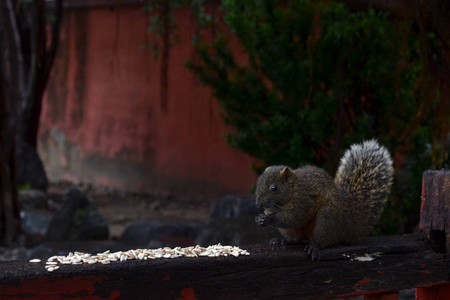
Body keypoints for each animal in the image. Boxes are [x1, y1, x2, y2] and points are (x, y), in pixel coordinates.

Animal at [256, 139, 394, 258]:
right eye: (258, 181)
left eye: (274, 188)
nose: (258, 205)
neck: (293, 189)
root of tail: (340, 229)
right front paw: (262, 216)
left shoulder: (303, 200)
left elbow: (294, 218)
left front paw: (268, 218)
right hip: (293, 231)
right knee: (300, 239)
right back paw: (284, 240)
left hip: (326, 218)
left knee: (324, 241)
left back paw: (315, 246)